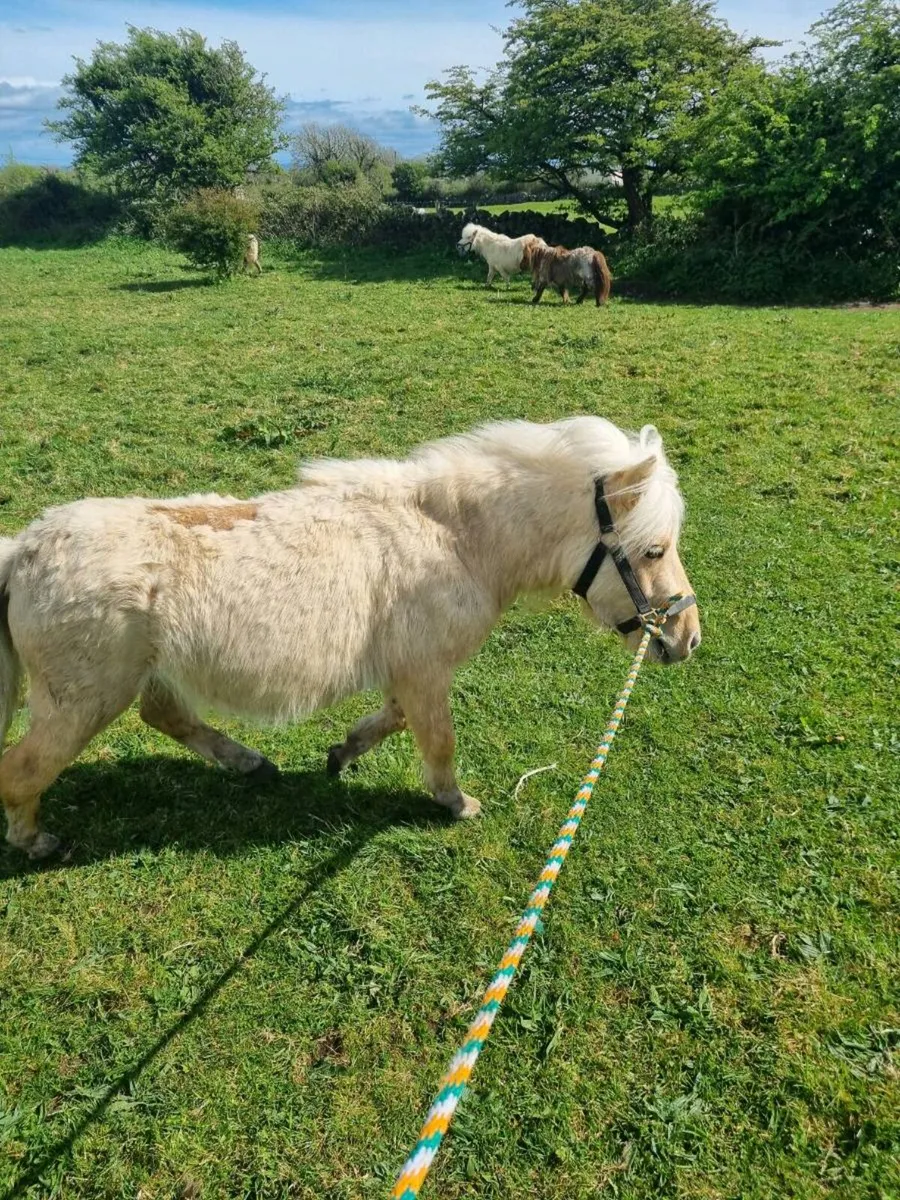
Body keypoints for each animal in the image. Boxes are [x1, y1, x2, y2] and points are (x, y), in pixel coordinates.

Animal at [0, 418, 700, 859]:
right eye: (653, 550)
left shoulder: (409, 670)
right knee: (21, 771)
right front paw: (454, 803)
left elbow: (393, 720)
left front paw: (341, 755)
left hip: (146, 674)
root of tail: (25, 548)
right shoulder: (426, 670)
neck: (456, 538)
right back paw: (35, 842)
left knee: (164, 715)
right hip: (83, 700)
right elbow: (437, 739)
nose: (688, 638)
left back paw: (248, 762)